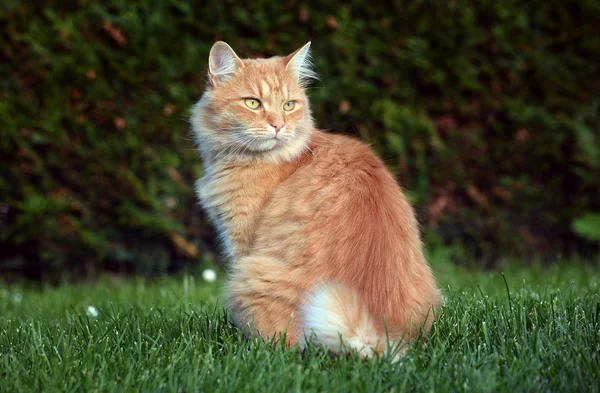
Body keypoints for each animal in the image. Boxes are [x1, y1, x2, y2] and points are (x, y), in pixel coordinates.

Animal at [191, 41, 440, 356]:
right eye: (253, 103)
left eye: (288, 105)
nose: (278, 126)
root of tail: (379, 336)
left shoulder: (241, 242)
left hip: (246, 276)